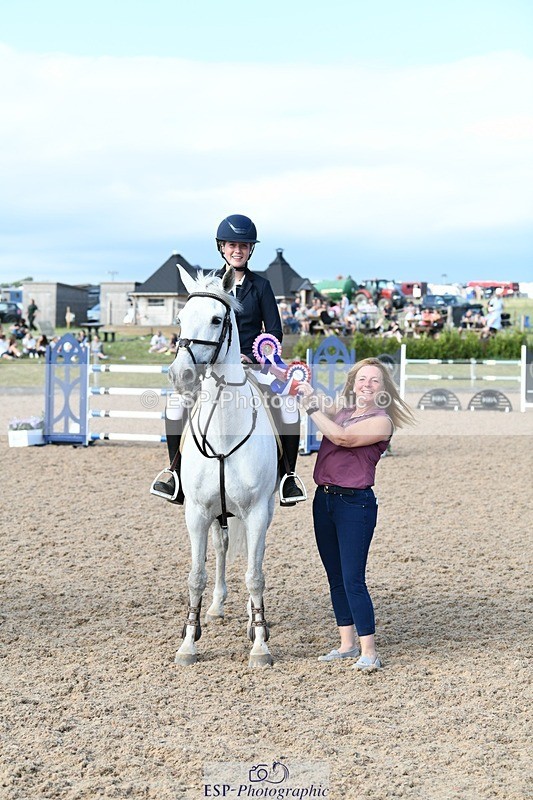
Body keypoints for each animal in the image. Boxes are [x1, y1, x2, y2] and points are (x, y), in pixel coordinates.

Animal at [168, 266, 279, 667]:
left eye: (218, 319)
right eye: (181, 318)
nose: (180, 375)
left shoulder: (257, 511)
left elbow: (256, 575)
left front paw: (260, 644)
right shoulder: (197, 512)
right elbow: (195, 575)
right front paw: (188, 642)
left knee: (250, 557)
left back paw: (249, 620)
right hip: (218, 513)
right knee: (222, 547)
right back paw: (216, 607)